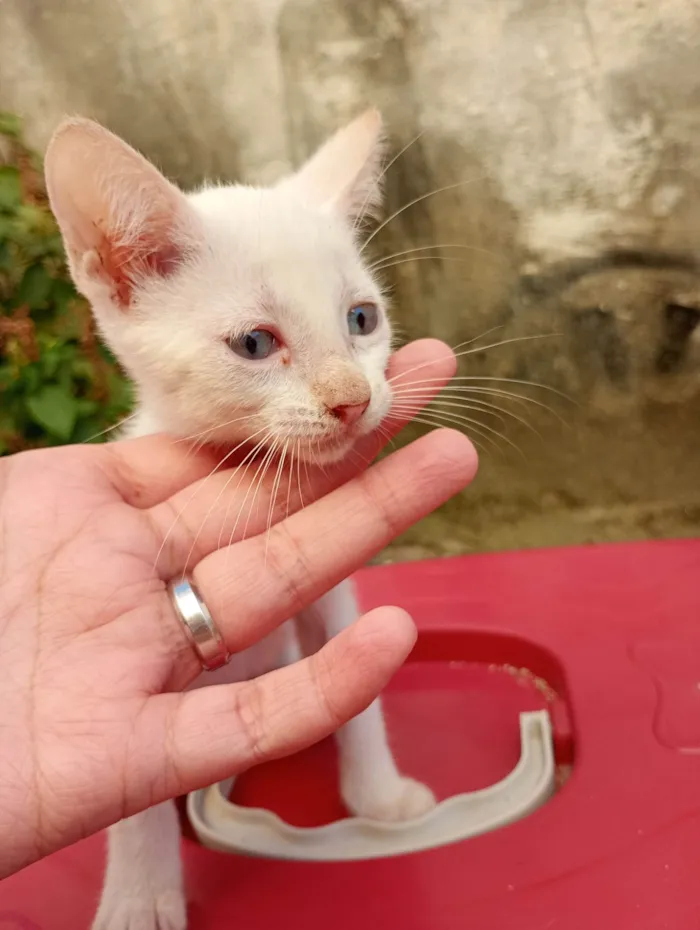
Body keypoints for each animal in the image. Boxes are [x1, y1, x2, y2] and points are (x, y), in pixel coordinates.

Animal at [45, 110, 432, 928]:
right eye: (256, 343)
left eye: (362, 319)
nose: (353, 400)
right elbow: (130, 789)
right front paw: (139, 893)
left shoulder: (329, 591)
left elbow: (357, 687)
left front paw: (380, 801)